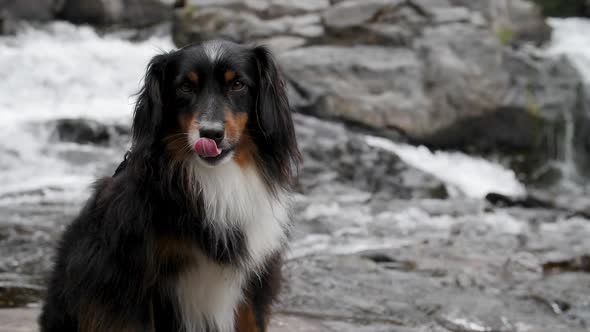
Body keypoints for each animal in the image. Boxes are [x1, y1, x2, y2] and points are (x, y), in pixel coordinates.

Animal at [38, 40, 300, 332]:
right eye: (185, 87)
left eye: (238, 84)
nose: (210, 134)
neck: (216, 178)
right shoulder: (129, 284)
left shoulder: (255, 281)